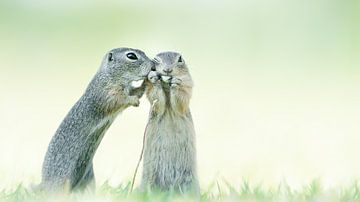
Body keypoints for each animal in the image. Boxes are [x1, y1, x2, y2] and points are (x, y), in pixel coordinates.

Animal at [40, 47, 153, 193]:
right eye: (131, 56)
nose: (152, 64)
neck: (110, 76)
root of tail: (43, 184)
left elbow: (136, 91)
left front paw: (145, 83)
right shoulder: (107, 92)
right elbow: (119, 100)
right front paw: (133, 100)